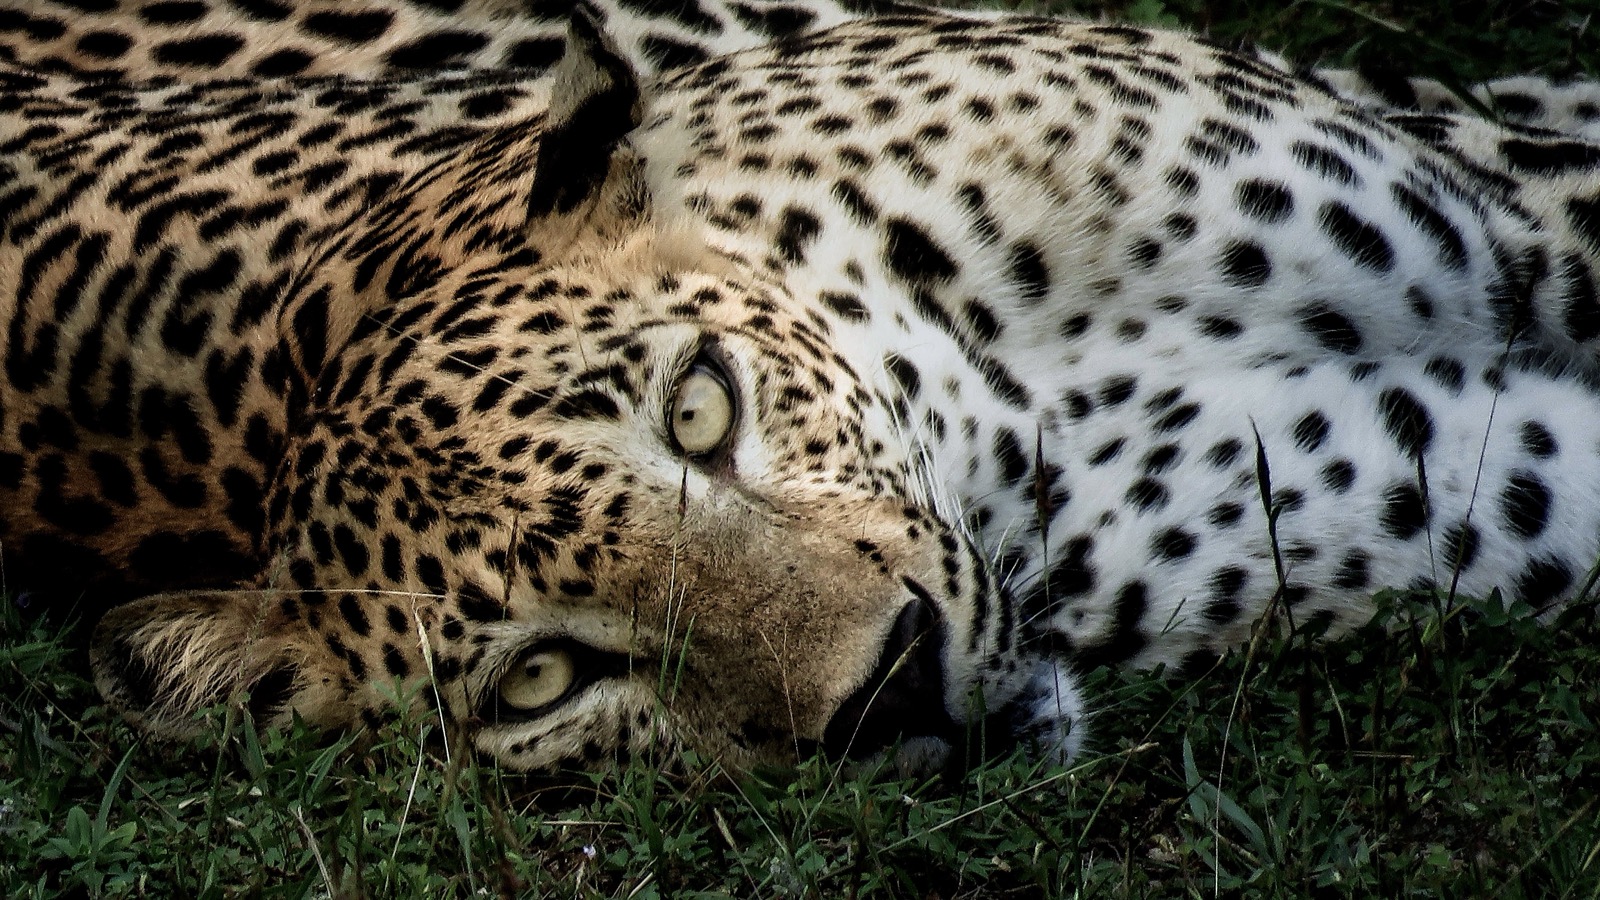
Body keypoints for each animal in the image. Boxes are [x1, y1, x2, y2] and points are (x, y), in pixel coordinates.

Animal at [3, 0, 1599, 774]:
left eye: (699, 407)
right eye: (543, 679)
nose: (893, 692)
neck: (990, 374)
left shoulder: (1522, 216)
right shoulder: (1459, 480)